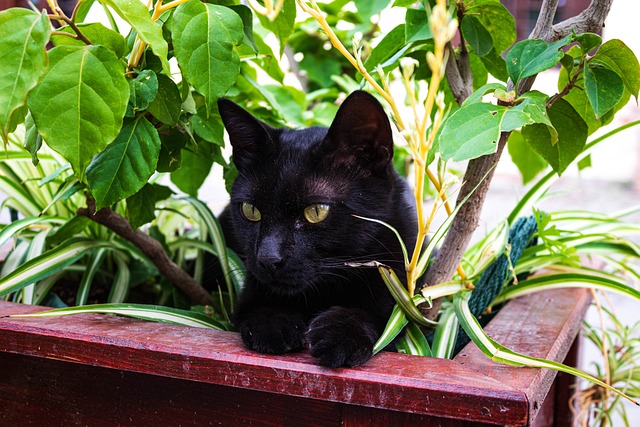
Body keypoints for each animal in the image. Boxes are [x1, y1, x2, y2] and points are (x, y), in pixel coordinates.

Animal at [218, 92, 418, 370]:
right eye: (251, 210)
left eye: (316, 211)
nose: (268, 258)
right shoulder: (250, 292)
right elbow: (259, 308)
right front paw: (274, 323)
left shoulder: (400, 290)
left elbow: (372, 312)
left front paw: (340, 334)